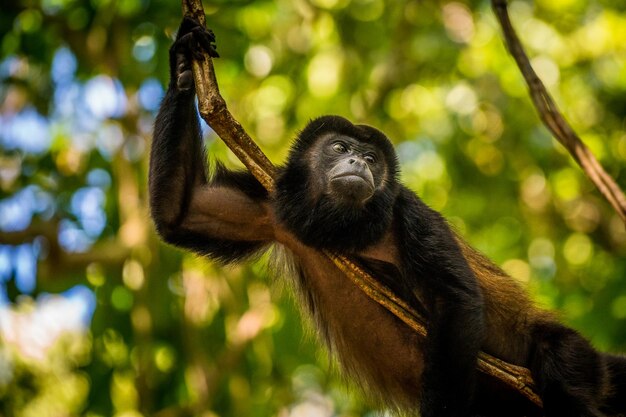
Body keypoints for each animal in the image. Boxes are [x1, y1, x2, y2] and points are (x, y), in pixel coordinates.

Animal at [150, 17, 624, 416]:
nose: (359, 162)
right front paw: (183, 60)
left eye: (372, 158)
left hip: (575, 360)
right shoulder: (272, 205)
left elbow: (455, 300)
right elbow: (184, 211)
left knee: (560, 366)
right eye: (340, 147)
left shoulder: (410, 214)